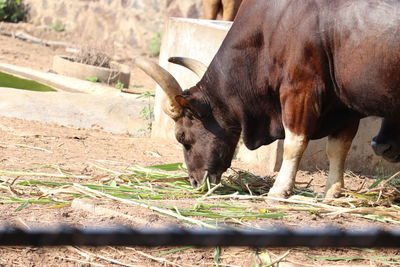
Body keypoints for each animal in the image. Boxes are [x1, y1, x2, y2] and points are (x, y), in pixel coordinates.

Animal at [136, 0, 400, 199]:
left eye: (181, 137)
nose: (194, 181)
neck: (271, 27)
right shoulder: (344, 107)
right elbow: (338, 148)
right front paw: (332, 193)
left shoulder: (299, 90)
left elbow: (295, 143)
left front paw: (279, 190)